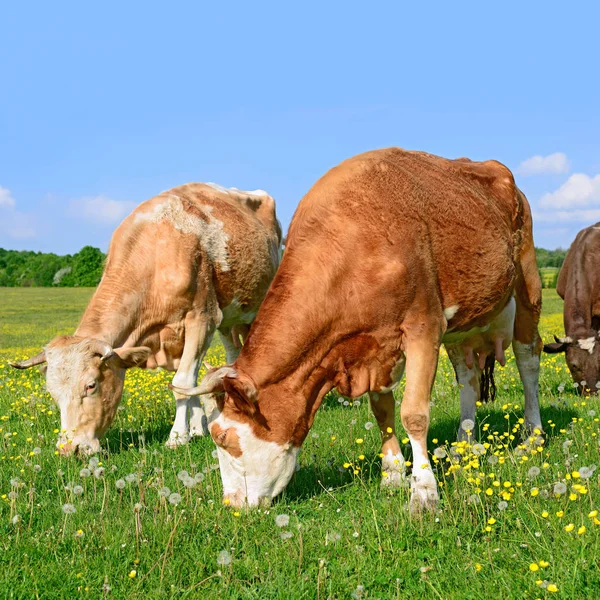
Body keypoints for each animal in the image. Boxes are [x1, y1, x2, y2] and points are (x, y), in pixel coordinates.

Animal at [9, 183, 282, 454]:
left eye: (91, 385)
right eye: (52, 391)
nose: (69, 449)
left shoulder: (202, 318)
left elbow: (182, 381)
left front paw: (177, 437)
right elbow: (189, 383)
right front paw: (196, 430)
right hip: (229, 318)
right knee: (232, 352)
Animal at [170, 148, 544, 512]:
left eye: (223, 438)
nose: (231, 504)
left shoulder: (424, 326)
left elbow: (414, 414)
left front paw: (423, 493)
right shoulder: (374, 348)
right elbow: (382, 410)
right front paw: (392, 475)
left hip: (528, 286)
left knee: (528, 361)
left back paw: (532, 438)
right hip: (461, 326)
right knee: (467, 377)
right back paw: (464, 444)